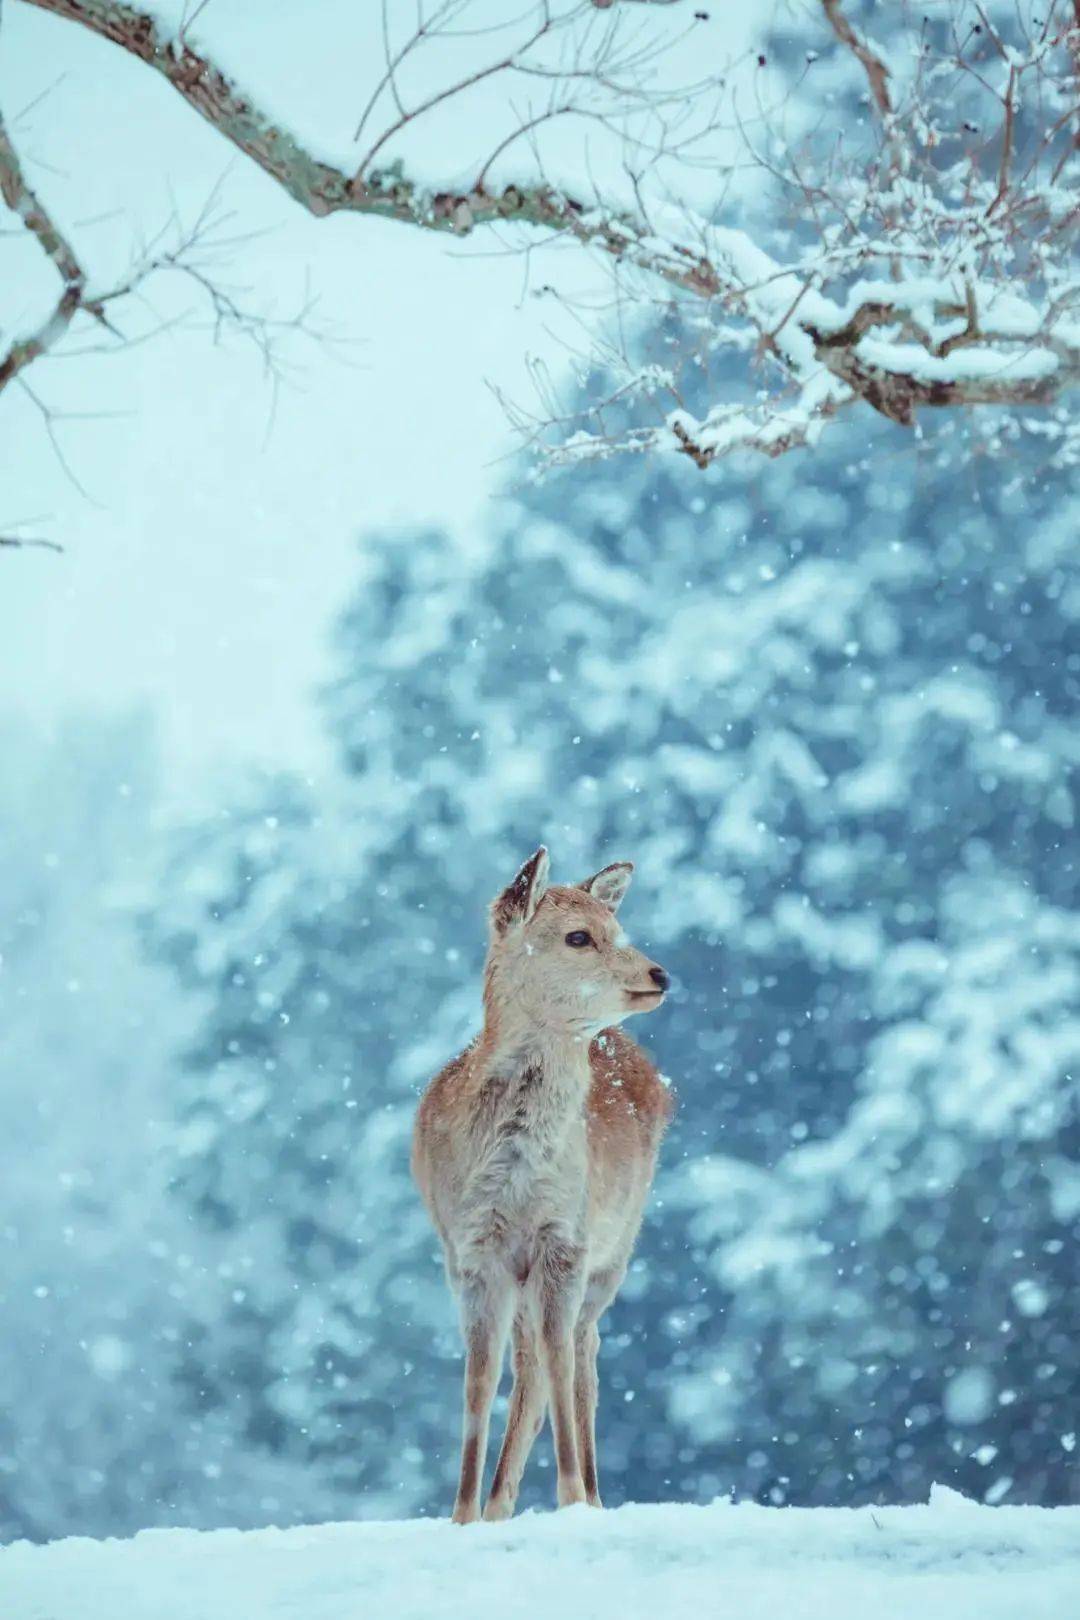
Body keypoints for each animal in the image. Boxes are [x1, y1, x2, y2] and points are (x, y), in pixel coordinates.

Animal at [409, 855, 670, 1522]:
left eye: (618, 927)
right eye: (579, 936)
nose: (659, 974)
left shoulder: (565, 1241)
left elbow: (556, 1364)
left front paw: (571, 1498)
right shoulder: (470, 1252)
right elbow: (479, 1381)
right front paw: (462, 1514)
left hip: (614, 1252)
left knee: (580, 1353)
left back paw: (593, 1496)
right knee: (529, 1363)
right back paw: (499, 1502)